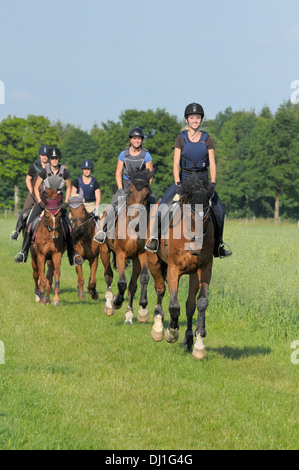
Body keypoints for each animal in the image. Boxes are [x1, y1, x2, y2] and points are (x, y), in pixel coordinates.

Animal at [103, 168, 155, 324]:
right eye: (131, 191)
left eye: (146, 194)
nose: (135, 217)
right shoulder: (120, 253)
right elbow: (121, 282)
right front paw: (117, 301)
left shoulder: (142, 254)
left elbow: (143, 278)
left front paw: (143, 308)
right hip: (105, 251)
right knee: (108, 275)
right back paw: (109, 304)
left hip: (135, 259)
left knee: (132, 285)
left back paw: (129, 314)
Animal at [148, 176, 216, 360]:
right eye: (191, 216)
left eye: (207, 217)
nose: (197, 248)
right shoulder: (173, 269)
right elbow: (174, 306)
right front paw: (171, 332)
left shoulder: (204, 269)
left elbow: (201, 303)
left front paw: (199, 343)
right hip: (153, 262)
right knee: (160, 289)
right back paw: (158, 329)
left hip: (193, 274)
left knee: (190, 304)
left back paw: (189, 339)